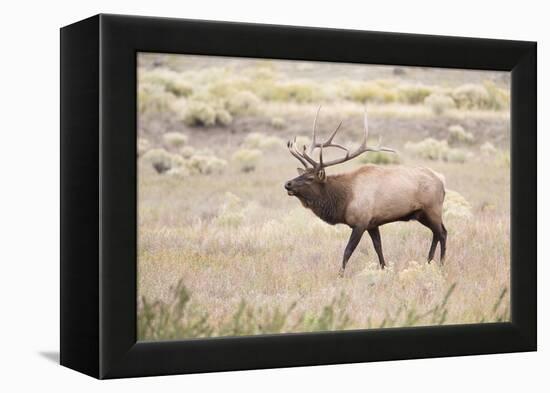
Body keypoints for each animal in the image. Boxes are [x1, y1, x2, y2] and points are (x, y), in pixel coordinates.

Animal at [284, 107, 448, 276]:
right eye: (301, 174)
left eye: (310, 178)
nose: (287, 184)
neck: (344, 201)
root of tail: (441, 180)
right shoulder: (372, 224)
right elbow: (378, 247)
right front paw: (384, 269)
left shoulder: (360, 222)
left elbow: (348, 250)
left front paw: (340, 275)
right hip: (421, 214)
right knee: (437, 233)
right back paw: (429, 261)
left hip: (433, 209)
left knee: (442, 233)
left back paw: (440, 264)